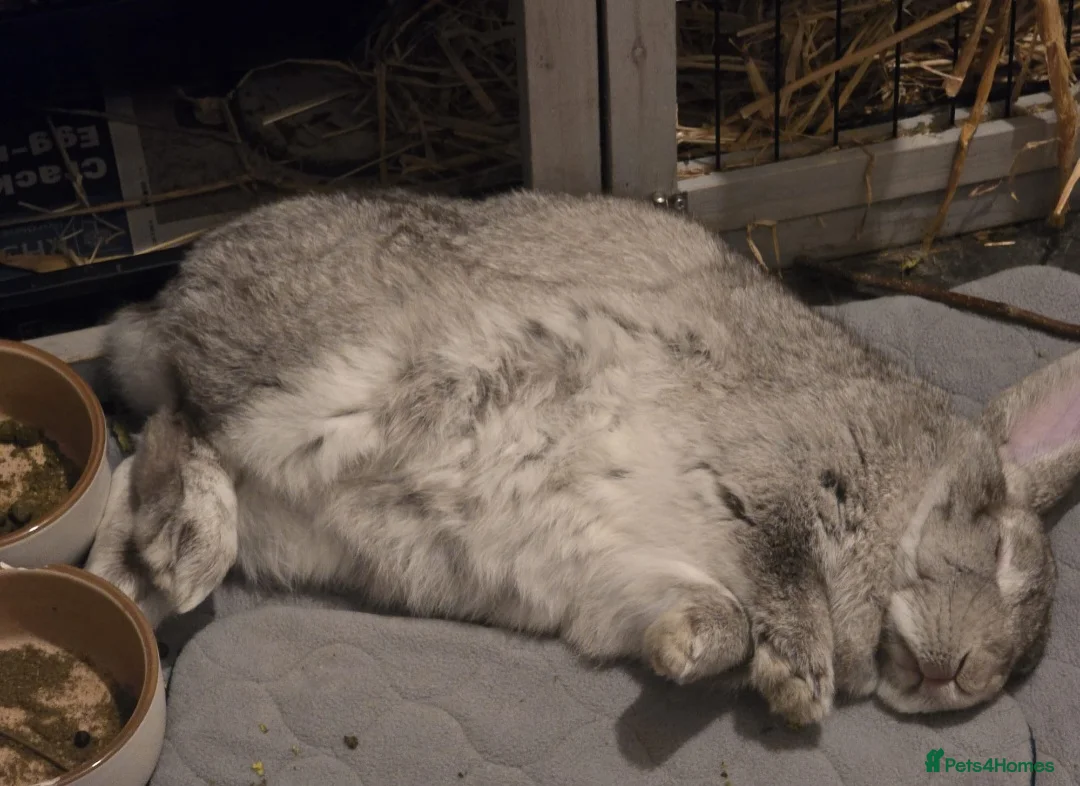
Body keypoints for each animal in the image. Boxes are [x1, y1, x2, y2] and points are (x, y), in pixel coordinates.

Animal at [83, 188, 1077, 727]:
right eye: (1001, 551)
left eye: (1020, 671)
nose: (967, 677)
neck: (905, 481)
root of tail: (158, 305)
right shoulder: (768, 468)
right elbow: (786, 569)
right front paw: (801, 685)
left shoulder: (638, 574)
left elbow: (722, 618)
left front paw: (684, 652)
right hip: (320, 387)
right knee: (180, 422)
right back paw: (183, 543)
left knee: (143, 467)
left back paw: (143, 571)